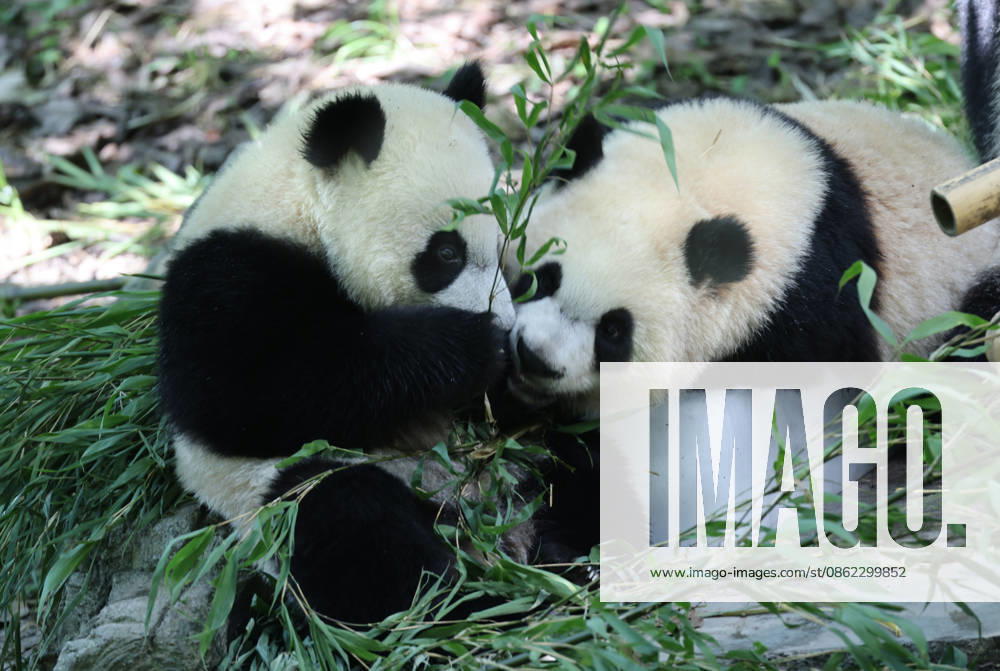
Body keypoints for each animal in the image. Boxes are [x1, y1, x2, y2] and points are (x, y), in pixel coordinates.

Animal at [157, 64, 537, 624]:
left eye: (503, 243)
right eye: (447, 252)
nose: (506, 327)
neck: (297, 211)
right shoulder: (224, 279)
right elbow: (252, 396)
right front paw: (473, 346)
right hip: (274, 490)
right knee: (353, 525)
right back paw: (472, 602)